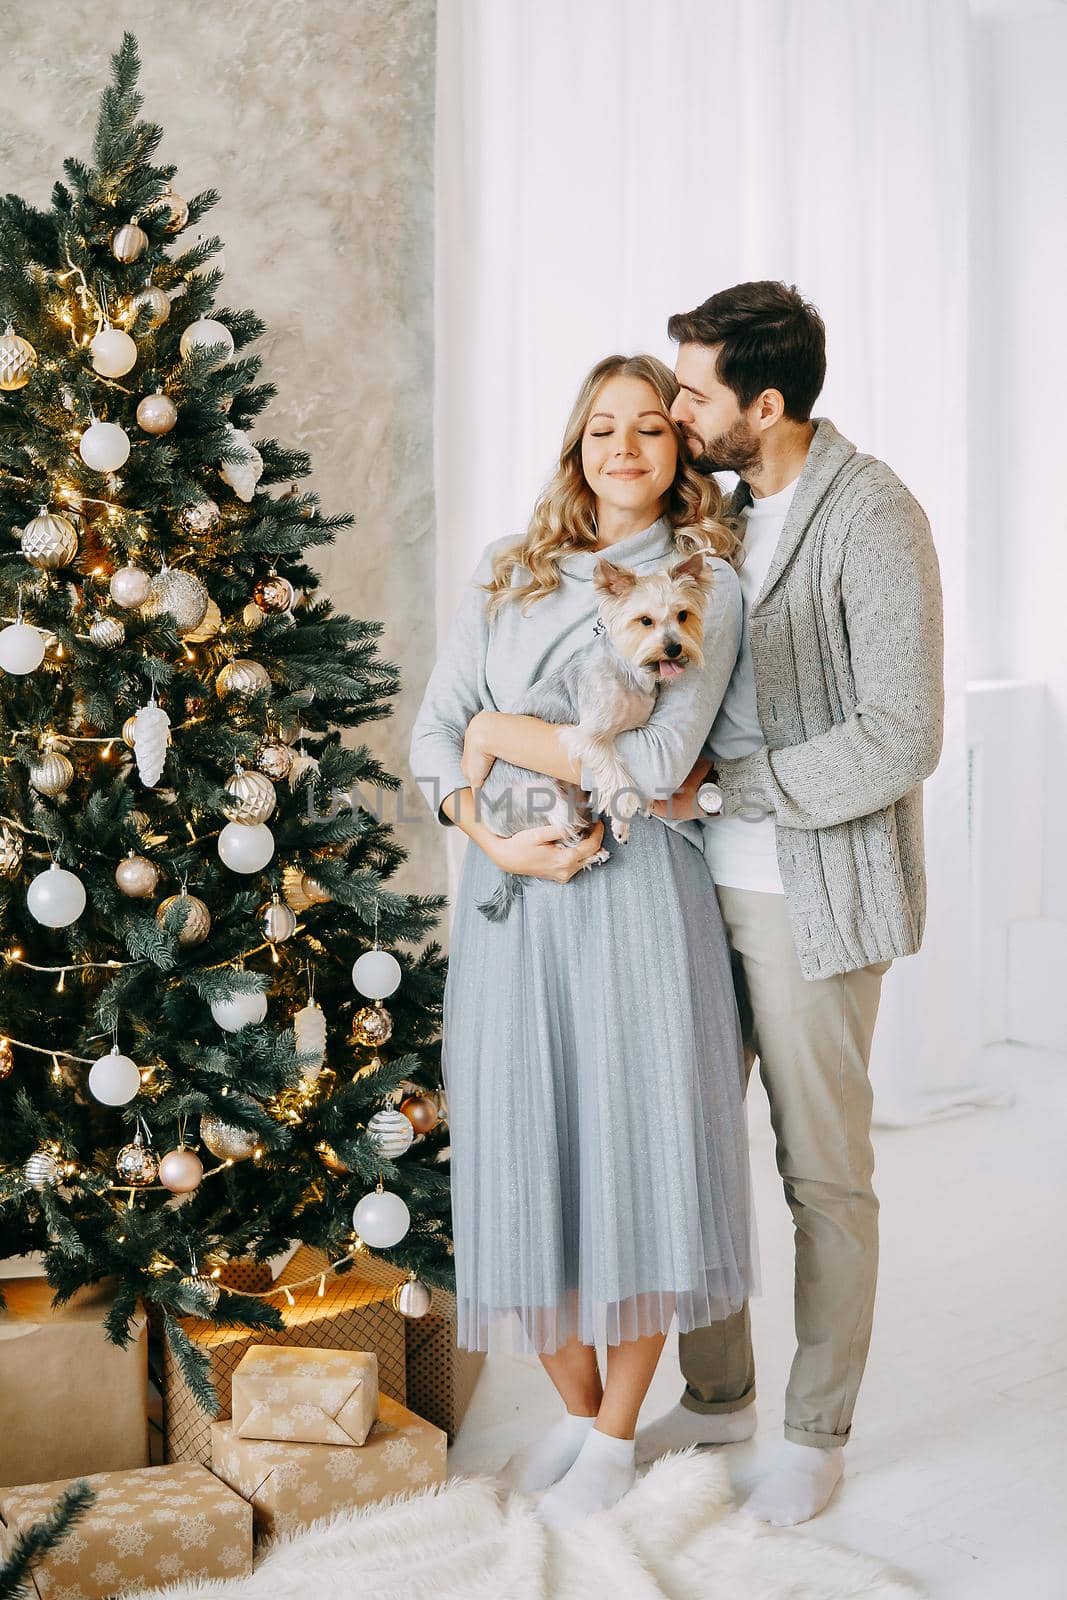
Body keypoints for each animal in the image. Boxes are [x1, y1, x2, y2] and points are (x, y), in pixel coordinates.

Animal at [476, 553, 716, 921]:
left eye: (683, 615)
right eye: (645, 621)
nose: (674, 648)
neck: (629, 671)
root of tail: (493, 826)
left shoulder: (635, 730)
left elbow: (621, 774)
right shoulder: (589, 736)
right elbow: (613, 771)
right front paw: (624, 817)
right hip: (546, 797)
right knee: (562, 837)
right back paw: (590, 853)